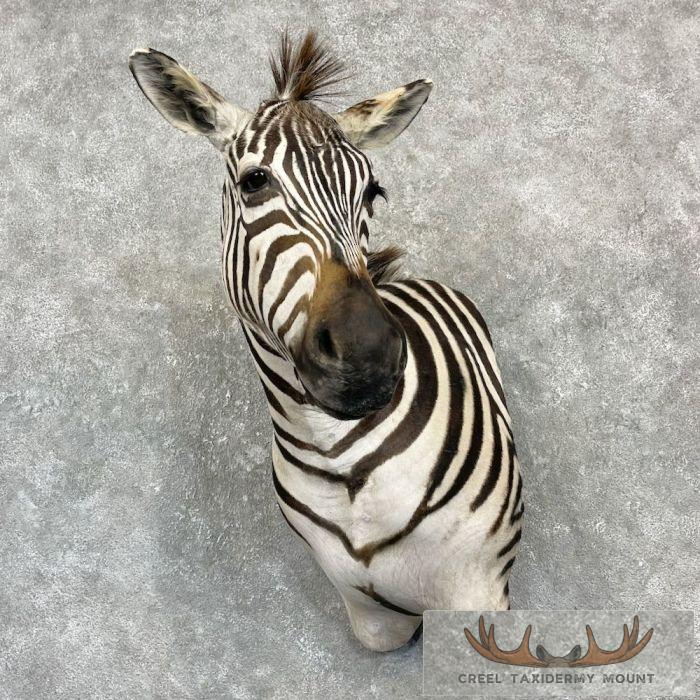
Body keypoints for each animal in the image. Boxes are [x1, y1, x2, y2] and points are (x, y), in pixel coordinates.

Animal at [129, 30, 524, 652]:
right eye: (254, 182)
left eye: (372, 193)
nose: (369, 354)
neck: (344, 458)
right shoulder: (365, 606)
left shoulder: (478, 582)